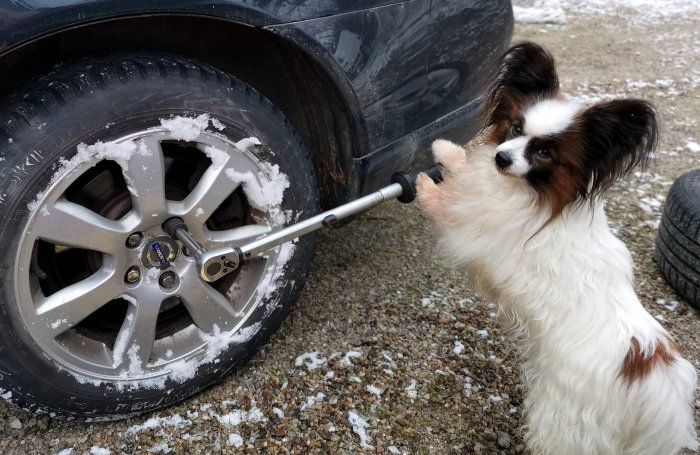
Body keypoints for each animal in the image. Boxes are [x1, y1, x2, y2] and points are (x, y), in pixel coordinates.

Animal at [416, 41, 696, 454]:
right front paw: (446, 149)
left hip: (562, 415)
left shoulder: (469, 224)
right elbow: (463, 166)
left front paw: (423, 184)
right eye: (516, 128)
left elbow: (444, 203)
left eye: (545, 153)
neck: (531, 192)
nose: (501, 157)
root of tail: (652, 372)